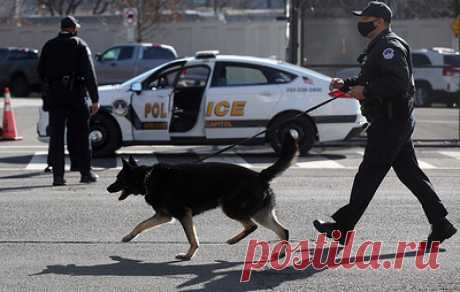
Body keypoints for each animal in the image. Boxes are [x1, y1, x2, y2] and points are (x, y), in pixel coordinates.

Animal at [38, 16, 99, 186]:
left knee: (57, 138)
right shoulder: (84, 49)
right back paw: (87, 175)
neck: (64, 36)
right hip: (79, 109)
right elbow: (89, 74)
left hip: (57, 111)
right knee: (82, 133)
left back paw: (58, 177)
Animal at [108, 134, 298, 260]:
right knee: (283, 230)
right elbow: (141, 225)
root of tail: (260, 175)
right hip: (260, 214)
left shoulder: (183, 214)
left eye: (118, 179)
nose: (108, 188)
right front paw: (129, 236)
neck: (147, 177)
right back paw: (280, 252)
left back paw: (236, 240)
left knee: (252, 226)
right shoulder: (165, 216)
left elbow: (192, 238)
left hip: (232, 209)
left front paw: (188, 255)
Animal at [312, 1, 456, 249]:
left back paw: (340, 228)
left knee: (373, 167)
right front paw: (342, 83)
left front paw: (339, 226)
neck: (383, 37)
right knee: (413, 174)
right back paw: (440, 229)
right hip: (402, 144)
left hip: (387, 137)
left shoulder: (390, 52)